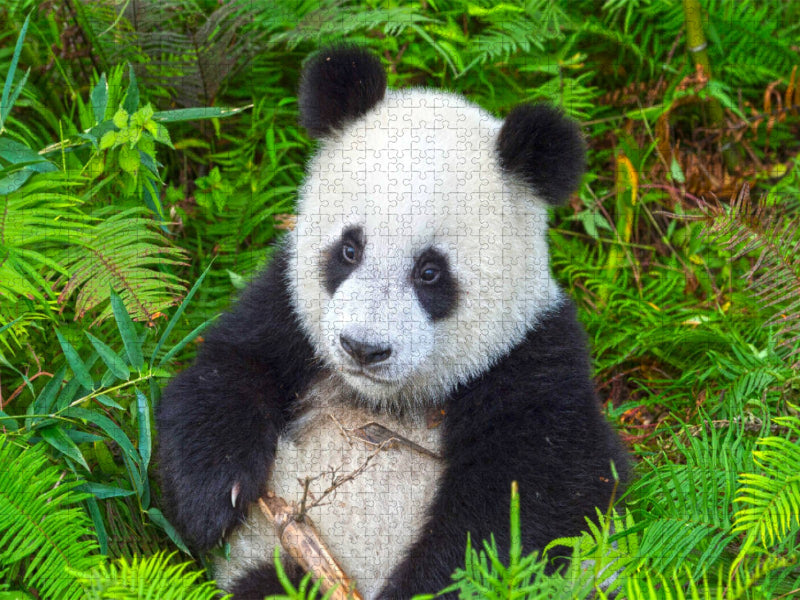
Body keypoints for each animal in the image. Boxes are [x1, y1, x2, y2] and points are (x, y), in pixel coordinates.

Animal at [156, 46, 630, 599]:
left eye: (430, 272)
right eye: (349, 249)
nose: (363, 348)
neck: (387, 401)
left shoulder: (531, 357)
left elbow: (525, 506)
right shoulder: (286, 308)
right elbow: (227, 369)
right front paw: (214, 496)